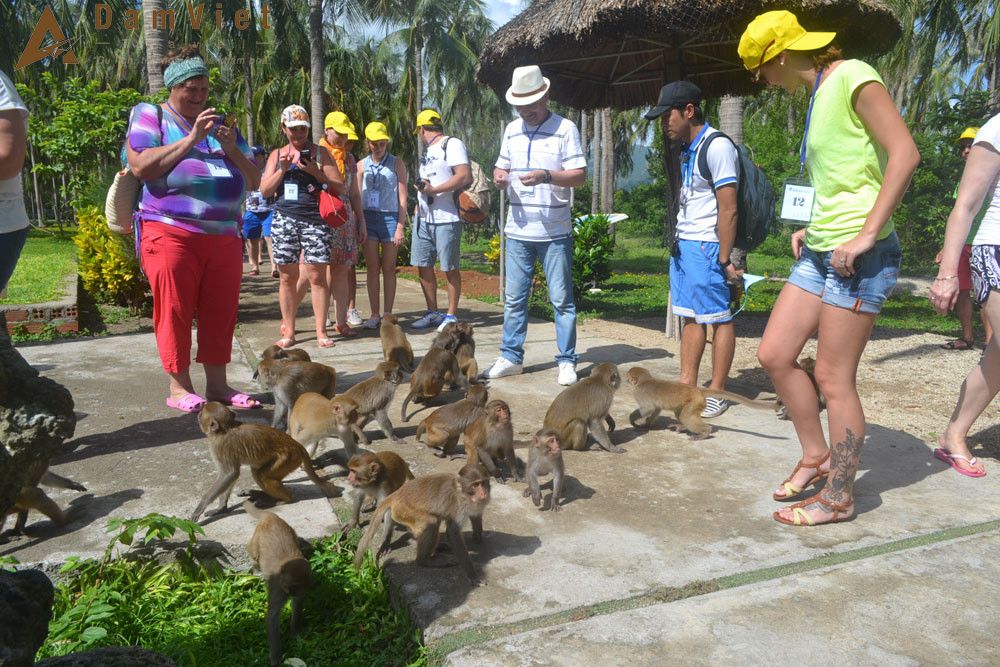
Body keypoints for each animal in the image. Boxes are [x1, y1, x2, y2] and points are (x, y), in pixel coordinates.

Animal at [189, 400, 342, 524]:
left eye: (201, 413)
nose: (198, 413)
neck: (225, 429)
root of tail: (297, 445)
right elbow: (232, 475)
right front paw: (221, 508)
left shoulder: (220, 447)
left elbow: (229, 474)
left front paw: (200, 507)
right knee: (258, 472)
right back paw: (260, 494)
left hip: (287, 458)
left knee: (261, 475)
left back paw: (284, 499)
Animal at [243, 500, 312, 667]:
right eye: (295, 586)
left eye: (305, 586)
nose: (302, 592)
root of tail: (270, 517)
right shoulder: (278, 589)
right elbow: (272, 617)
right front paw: (276, 658)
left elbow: (297, 603)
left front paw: (295, 631)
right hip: (256, 540)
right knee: (254, 555)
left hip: (290, 529)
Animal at [356, 464, 492, 584]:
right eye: (475, 485)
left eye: (483, 483)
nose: (484, 493)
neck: (463, 493)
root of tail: (397, 494)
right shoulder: (459, 507)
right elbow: (453, 533)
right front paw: (473, 575)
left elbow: (475, 516)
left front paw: (478, 537)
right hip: (404, 510)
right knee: (432, 522)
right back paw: (425, 560)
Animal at [628, 366, 776, 438]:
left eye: (628, 376)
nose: (626, 379)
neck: (644, 381)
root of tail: (698, 390)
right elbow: (655, 409)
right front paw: (647, 424)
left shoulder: (639, 393)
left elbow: (647, 409)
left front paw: (633, 420)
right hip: (694, 402)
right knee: (681, 414)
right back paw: (683, 426)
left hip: (694, 402)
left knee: (685, 416)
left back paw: (705, 432)